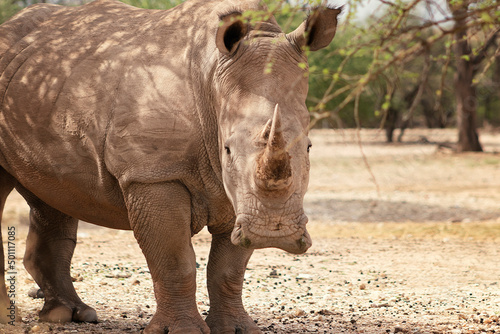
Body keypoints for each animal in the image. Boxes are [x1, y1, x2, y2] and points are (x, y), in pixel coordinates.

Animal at [0, 1, 340, 332]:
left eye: (309, 147)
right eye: (228, 149)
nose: (273, 233)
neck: (213, 79)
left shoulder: (238, 193)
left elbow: (229, 268)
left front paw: (236, 329)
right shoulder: (153, 174)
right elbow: (175, 260)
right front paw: (182, 330)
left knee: (53, 194)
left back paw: (70, 315)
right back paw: (12, 317)